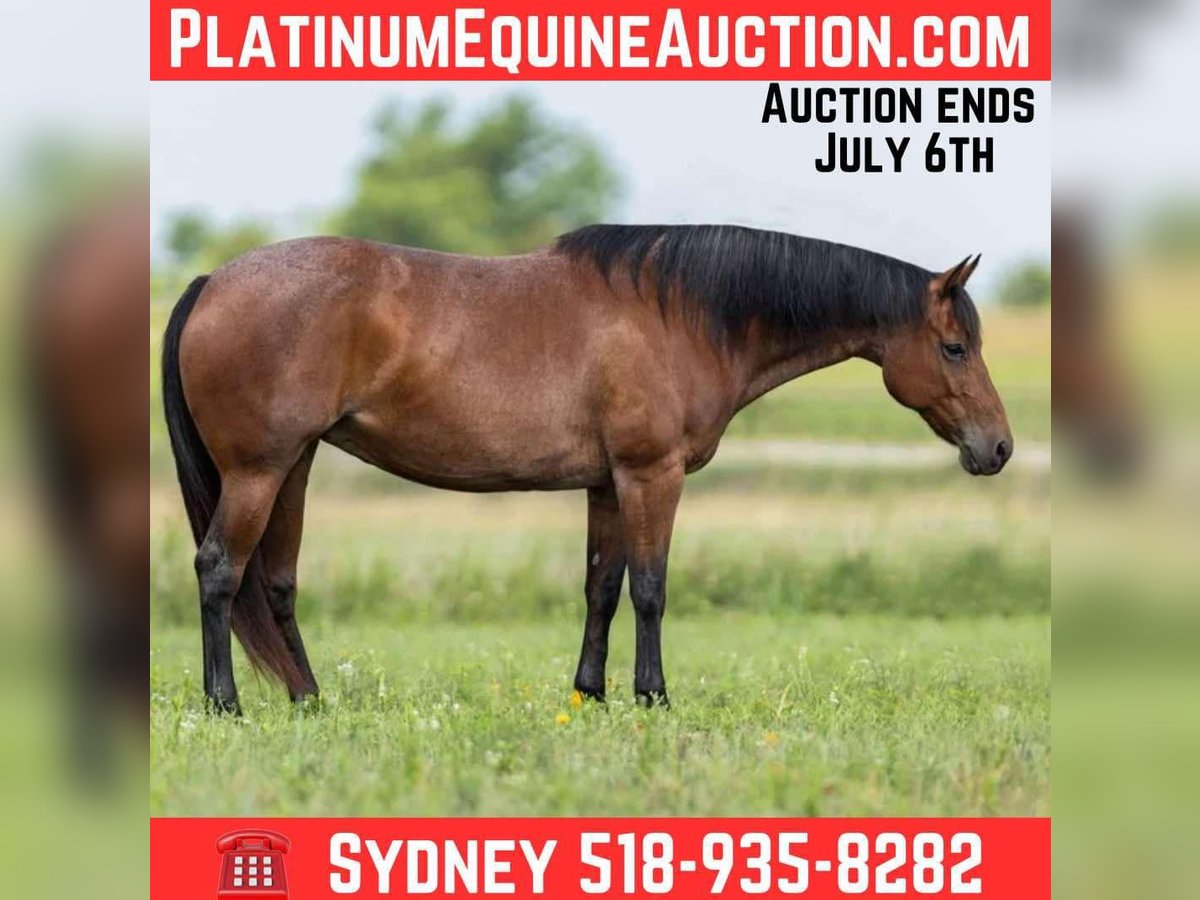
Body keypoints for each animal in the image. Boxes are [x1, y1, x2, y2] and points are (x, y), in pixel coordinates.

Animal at [161, 224, 1011, 714]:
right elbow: (650, 588)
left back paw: (310, 700)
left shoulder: (607, 482)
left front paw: (591, 695)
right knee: (219, 569)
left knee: (275, 582)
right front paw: (653, 697)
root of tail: (213, 282)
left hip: (294, 465)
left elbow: (602, 587)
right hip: (259, 470)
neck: (677, 315)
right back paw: (226, 704)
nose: (997, 447)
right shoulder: (651, 474)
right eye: (954, 347)